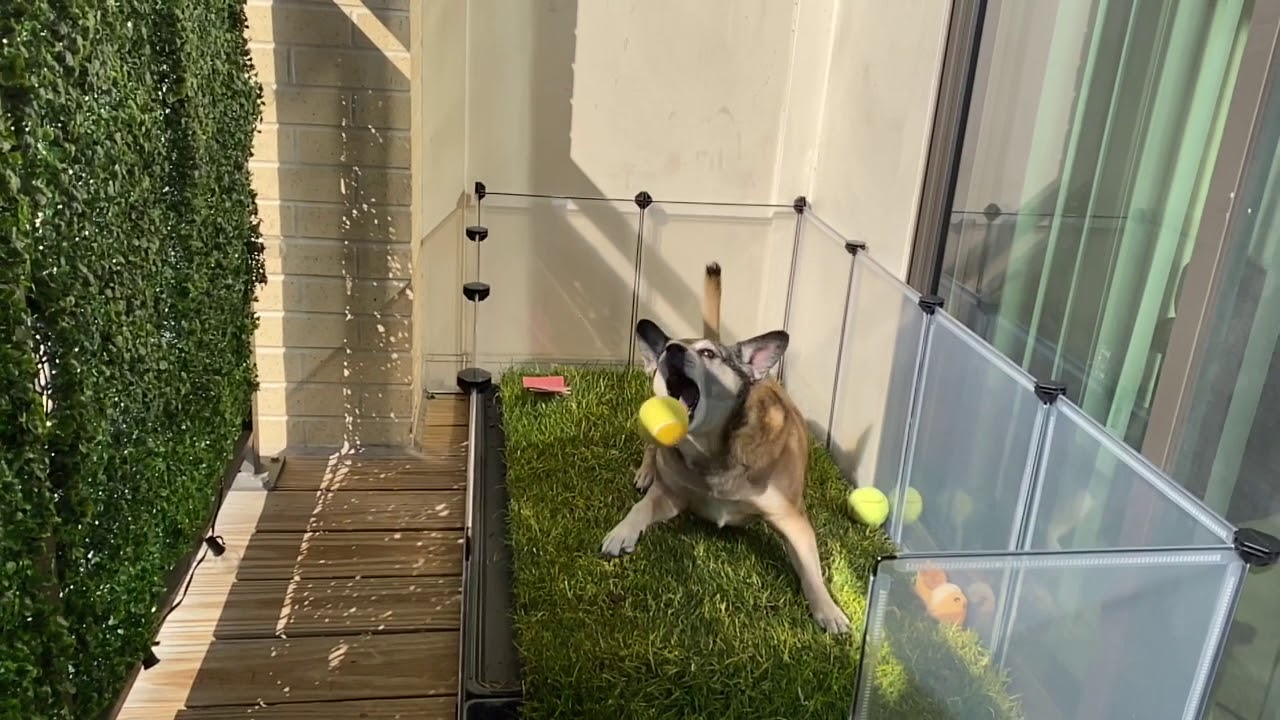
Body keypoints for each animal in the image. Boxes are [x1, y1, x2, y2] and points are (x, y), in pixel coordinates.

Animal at [599, 260, 849, 630]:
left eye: (708, 354)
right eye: (669, 347)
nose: (671, 349)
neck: (711, 451)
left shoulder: (794, 520)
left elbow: (811, 569)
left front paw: (828, 609)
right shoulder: (669, 495)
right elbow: (641, 507)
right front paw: (622, 531)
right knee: (652, 449)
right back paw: (646, 471)